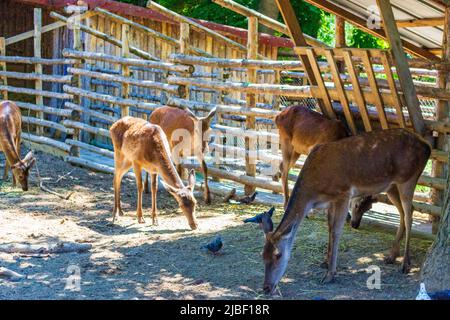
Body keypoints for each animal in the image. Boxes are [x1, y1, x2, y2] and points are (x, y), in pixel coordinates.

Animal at [262, 129, 430, 294]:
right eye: (262, 255)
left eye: (278, 255)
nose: (266, 288)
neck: (314, 191)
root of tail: (427, 147)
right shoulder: (330, 202)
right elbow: (329, 228)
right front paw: (325, 262)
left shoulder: (343, 194)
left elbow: (336, 232)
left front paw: (330, 274)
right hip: (391, 186)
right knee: (403, 212)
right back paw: (392, 256)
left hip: (407, 179)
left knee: (409, 215)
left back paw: (405, 264)